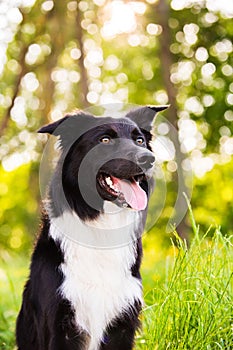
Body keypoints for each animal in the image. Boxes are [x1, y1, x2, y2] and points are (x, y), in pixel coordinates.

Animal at [15, 105, 167, 348]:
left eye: (140, 140)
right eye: (105, 140)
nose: (148, 159)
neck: (101, 225)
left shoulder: (123, 322)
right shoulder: (59, 321)